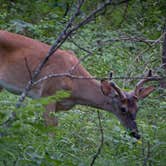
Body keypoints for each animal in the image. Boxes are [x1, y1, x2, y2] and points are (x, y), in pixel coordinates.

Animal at [0, 30, 158, 139]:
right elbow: (51, 125)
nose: (136, 134)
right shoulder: (48, 94)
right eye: (123, 109)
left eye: (137, 108)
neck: (75, 87)